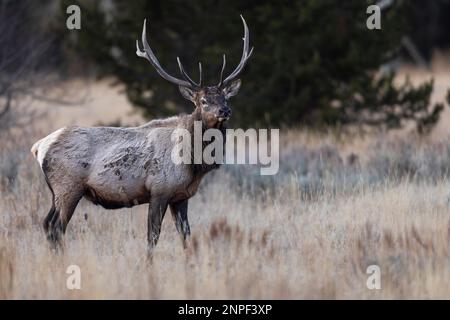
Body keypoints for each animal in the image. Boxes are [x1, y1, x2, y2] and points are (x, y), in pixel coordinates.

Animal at [30, 15, 253, 250]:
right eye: (203, 101)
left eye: (225, 97)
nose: (225, 110)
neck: (193, 163)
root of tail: (39, 147)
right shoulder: (159, 190)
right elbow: (152, 236)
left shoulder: (181, 196)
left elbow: (186, 236)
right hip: (68, 187)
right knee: (55, 226)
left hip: (59, 191)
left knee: (47, 224)